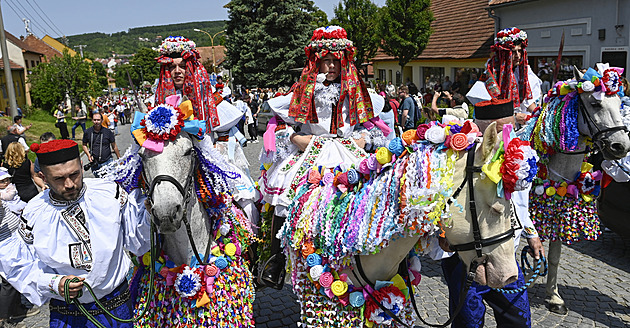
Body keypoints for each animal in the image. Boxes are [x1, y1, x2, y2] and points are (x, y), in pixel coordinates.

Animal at [520, 64, 630, 316]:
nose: (621, 147)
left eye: (619, 103)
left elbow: (553, 256)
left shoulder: (559, 215)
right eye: (596, 104)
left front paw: (553, 296)